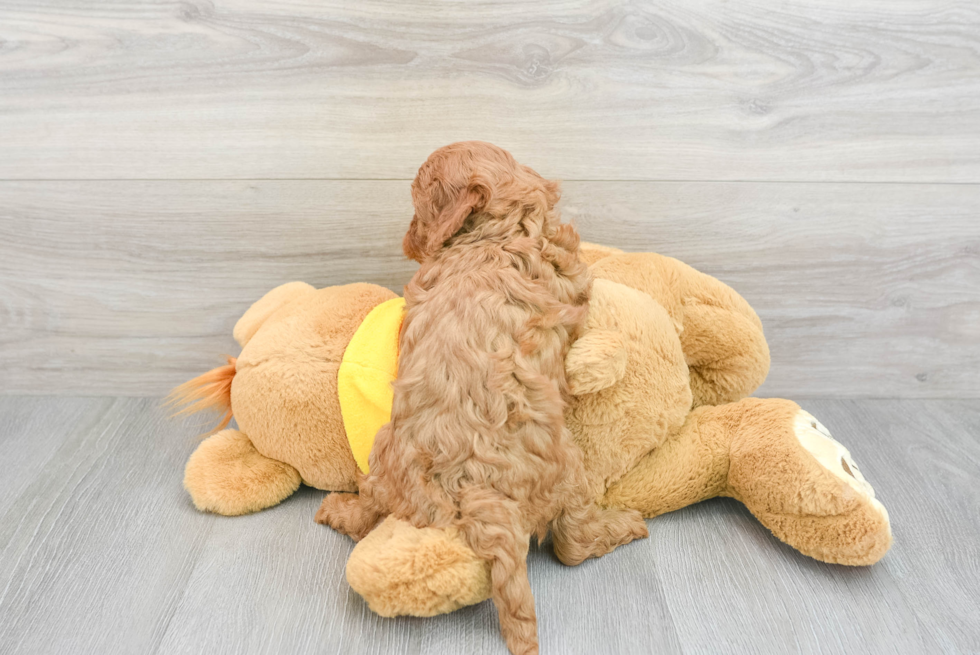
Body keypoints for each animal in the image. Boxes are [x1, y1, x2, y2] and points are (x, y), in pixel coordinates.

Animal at [318, 141, 648, 652]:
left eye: (417, 207)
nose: (408, 242)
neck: (498, 231)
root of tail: (470, 486)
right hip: (568, 466)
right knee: (572, 542)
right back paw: (624, 526)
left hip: (383, 451)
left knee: (368, 507)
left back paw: (337, 509)